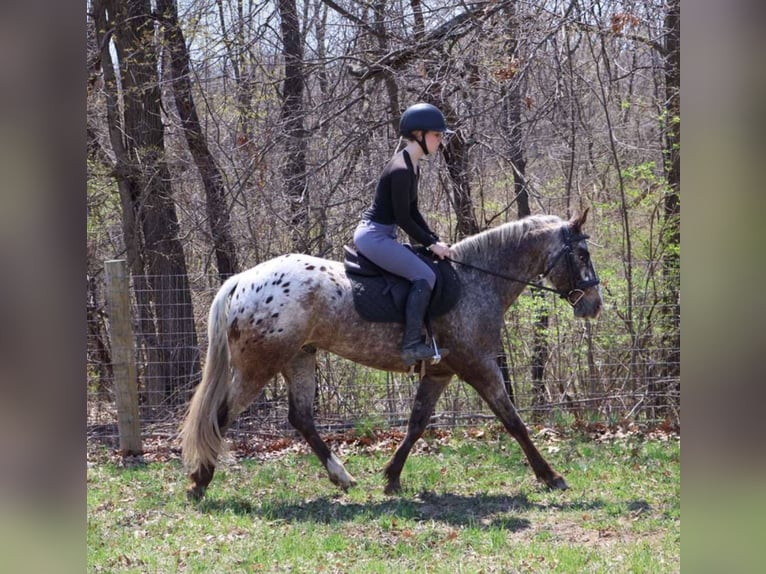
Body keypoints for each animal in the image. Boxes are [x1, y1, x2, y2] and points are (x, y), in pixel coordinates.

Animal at [180, 210, 602, 500]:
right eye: (581, 254)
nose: (594, 305)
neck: (476, 280)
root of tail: (241, 281)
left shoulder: (440, 372)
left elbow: (417, 424)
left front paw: (392, 477)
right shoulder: (478, 367)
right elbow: (513, 421)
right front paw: (550, 476)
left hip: (299, 359)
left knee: (301, 420)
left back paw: (342, 477)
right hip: (259, 366)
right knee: (221, 416)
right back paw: (200, 481)